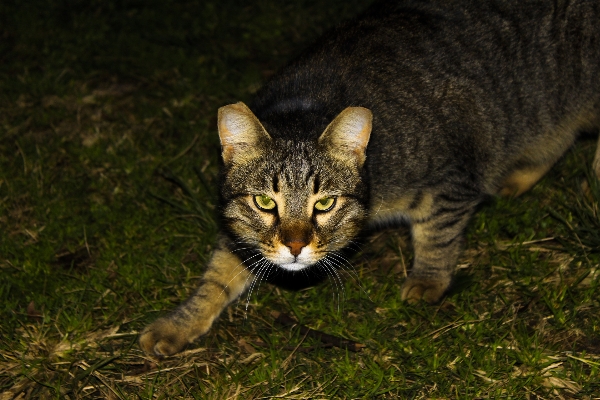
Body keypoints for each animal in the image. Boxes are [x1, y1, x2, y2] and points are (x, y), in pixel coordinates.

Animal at [139, 0, 600, 356]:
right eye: (265, 203)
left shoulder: (451, 181)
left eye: (325, 203)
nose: (294, 246)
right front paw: (181, 322)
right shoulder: (240, 231)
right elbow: (217, 274)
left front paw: (428, 280)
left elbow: (437, 235)